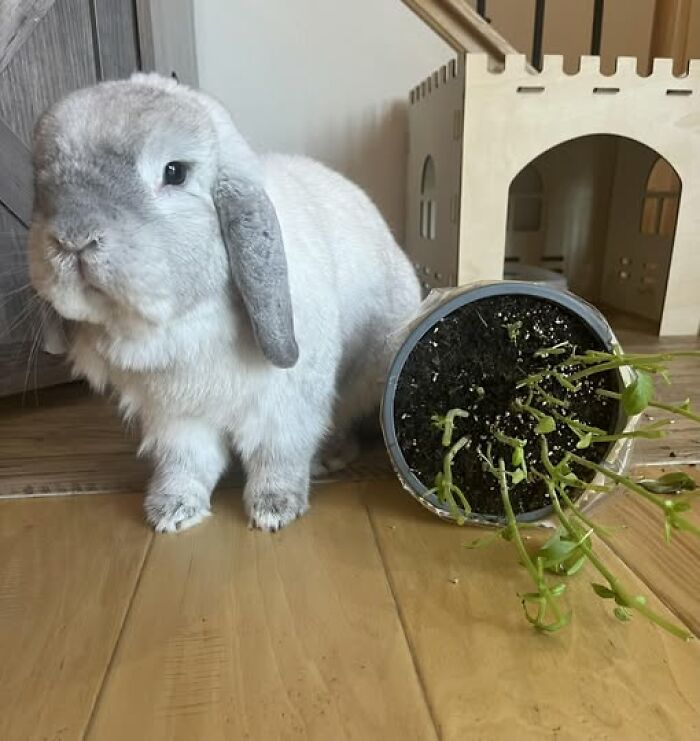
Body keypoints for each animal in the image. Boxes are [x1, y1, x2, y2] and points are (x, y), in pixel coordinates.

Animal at [28, 73, 421, 533]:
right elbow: (186, 463)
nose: (72, 239)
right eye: (42, 181)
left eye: (174, 172)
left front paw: (273, 511)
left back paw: (328, 458)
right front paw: (171, 511)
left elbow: (278, 457)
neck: (184, 320)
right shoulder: (176, 419)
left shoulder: (287, 409)